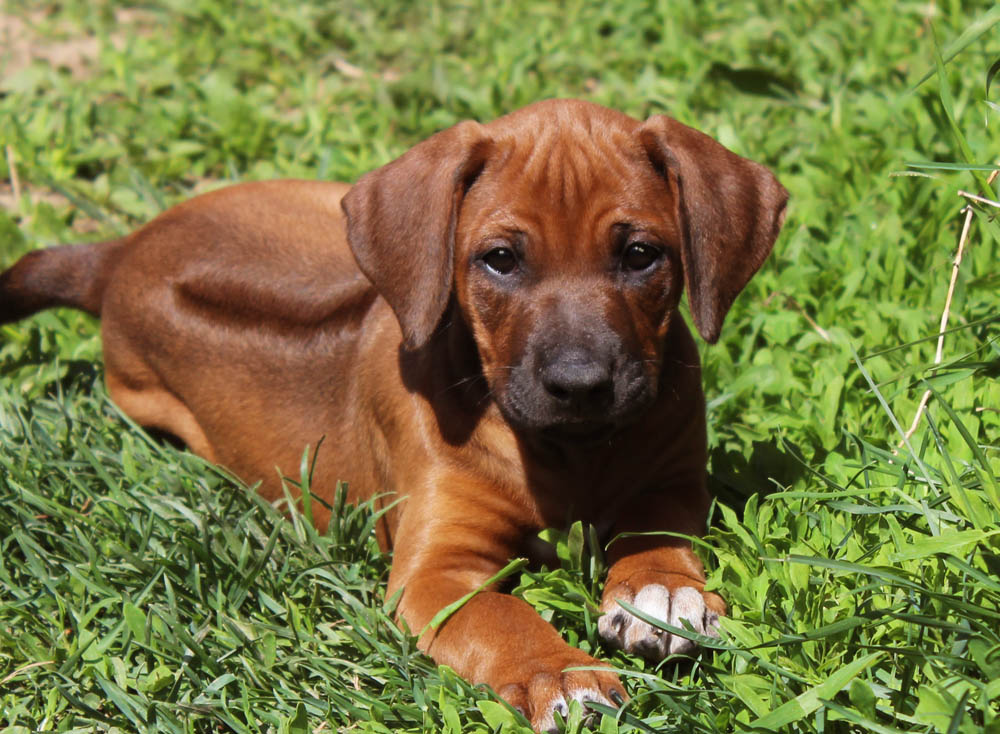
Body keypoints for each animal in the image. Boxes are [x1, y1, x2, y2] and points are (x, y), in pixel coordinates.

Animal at [0, 100, 784, 732]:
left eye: (641, 254)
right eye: (500, 259)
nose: (581, 384)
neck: (570, 453)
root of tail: (122, 255)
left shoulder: (671, 479)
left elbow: (657, 537)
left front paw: (663, 592)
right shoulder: (436, 570)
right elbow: (506, 618)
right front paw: (563, 678)